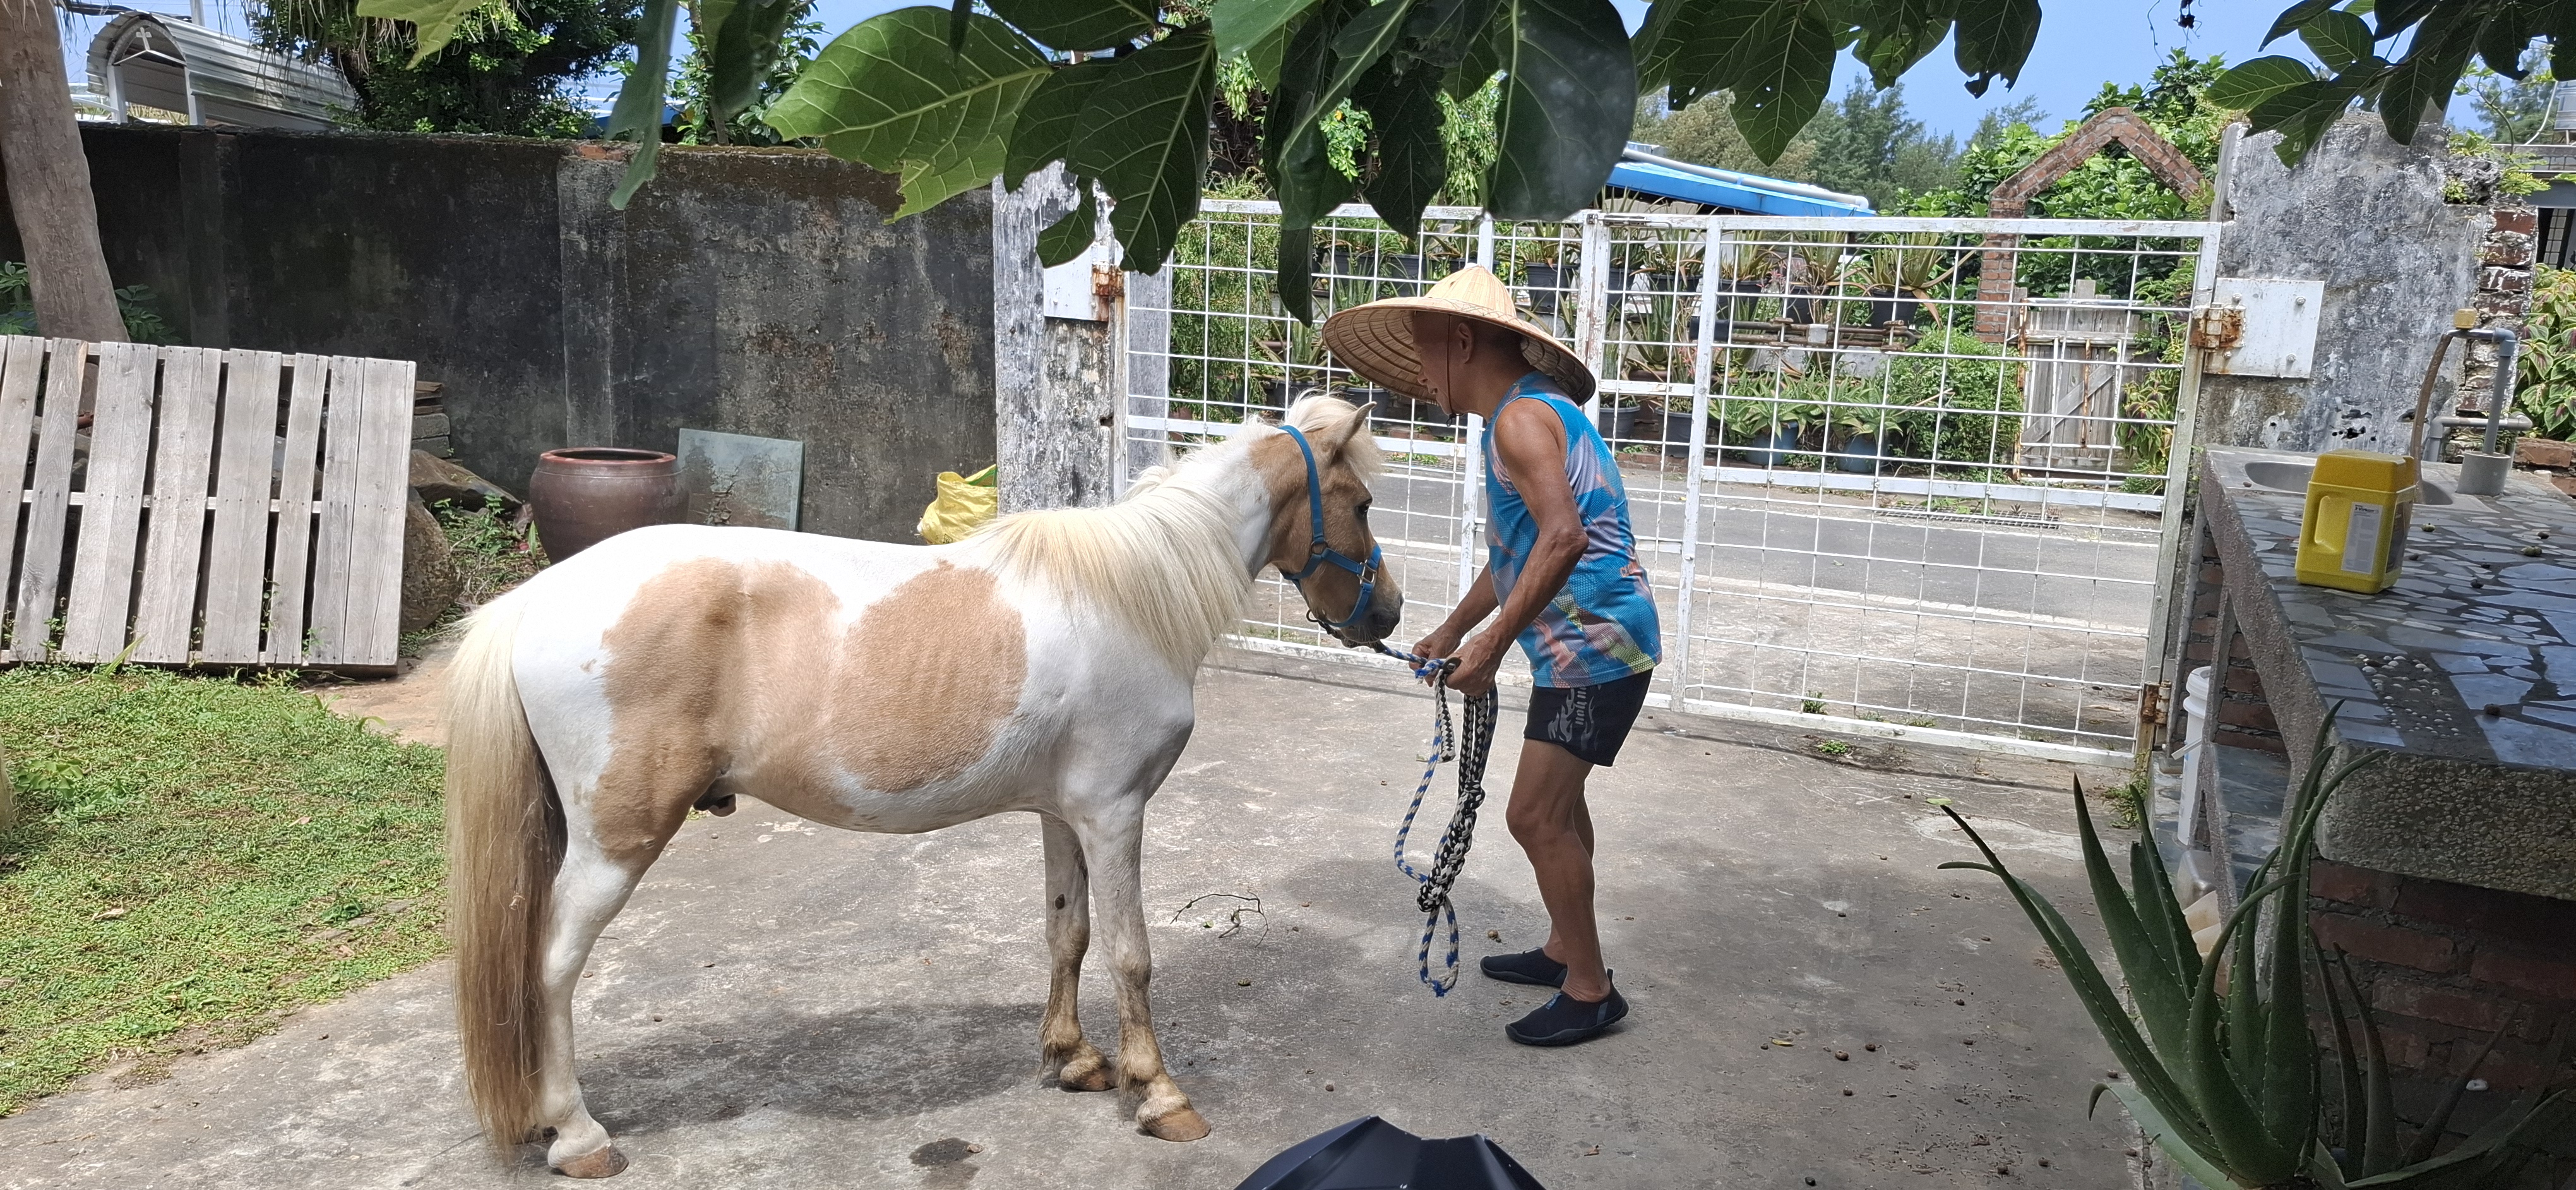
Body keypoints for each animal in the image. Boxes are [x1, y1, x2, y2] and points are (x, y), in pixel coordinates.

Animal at [441, 396, 1400, 1176]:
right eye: (1360, 504)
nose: (1385, 614)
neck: (1128, 596)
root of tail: (533, 600)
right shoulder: (1115, 814)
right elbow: (1132, 955)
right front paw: (1159, 1094)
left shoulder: (1066, 816)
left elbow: (1069, 934)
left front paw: (1073, 1060)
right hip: (614, 843)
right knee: (553, 966)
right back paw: (579, 1136)